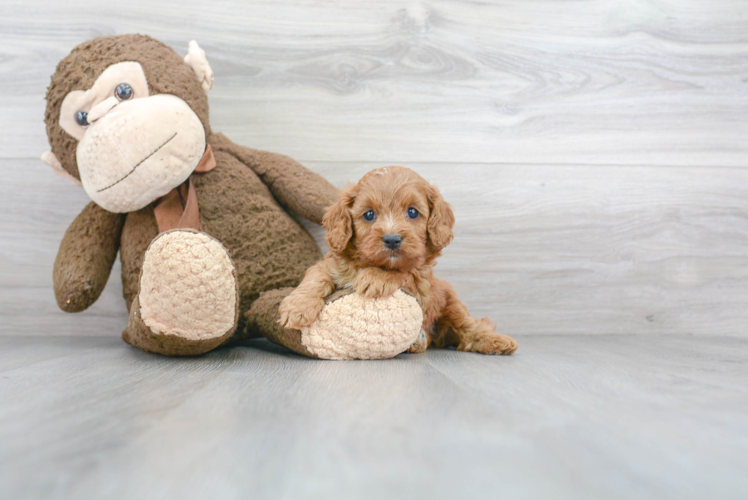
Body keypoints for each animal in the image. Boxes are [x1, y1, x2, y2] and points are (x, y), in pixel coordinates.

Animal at [278, 168, 516, 356]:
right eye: (369, 214)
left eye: (412, 212)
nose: (392, 239)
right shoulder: (331, 265)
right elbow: (316, 277)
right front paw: (297, 308)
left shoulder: (421, 283)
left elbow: (404, 271)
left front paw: (374, 278)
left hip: (451, 302)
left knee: (469, 326)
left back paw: (497, 341)